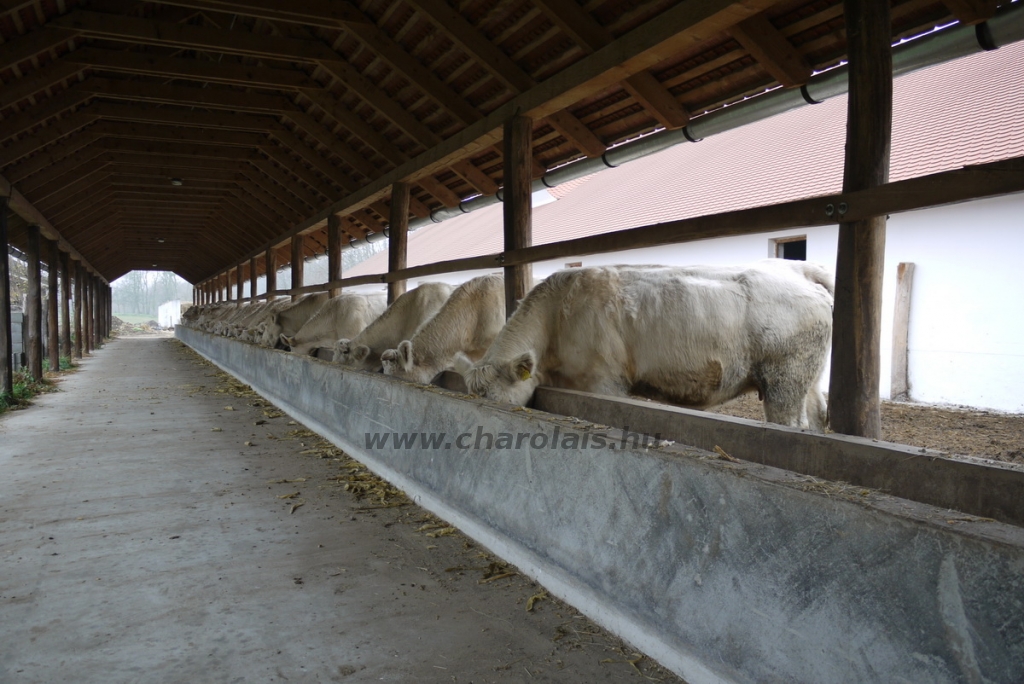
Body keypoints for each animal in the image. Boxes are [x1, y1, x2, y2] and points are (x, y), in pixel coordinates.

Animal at [460, 259, 835, 430]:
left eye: (494, 398)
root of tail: (800, 269)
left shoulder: (604, 382)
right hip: (807, 380)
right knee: (817, 418)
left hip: (784, 380)